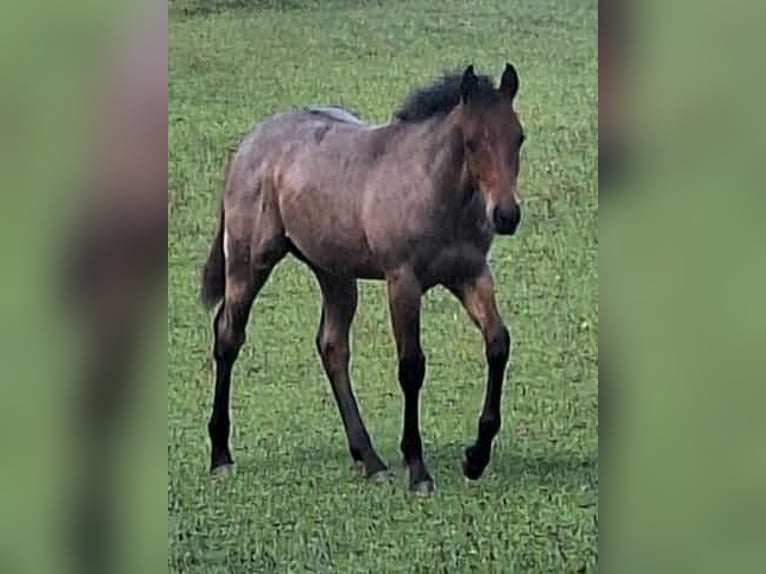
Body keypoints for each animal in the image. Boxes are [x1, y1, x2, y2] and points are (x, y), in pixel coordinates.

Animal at [200, 63, 525, 495]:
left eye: (519, 137)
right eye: (471, 142)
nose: (506, 216)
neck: (434, 187)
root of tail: (250, 144)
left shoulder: (471, 275)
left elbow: (498, 343)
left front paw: (476, 457)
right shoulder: (402, 281)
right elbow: (411, 366)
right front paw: (418, 470)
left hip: (334, 273)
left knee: (332, 346)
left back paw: (370, 460)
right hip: (248, 261)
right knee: (228, 335)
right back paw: (221, 455)